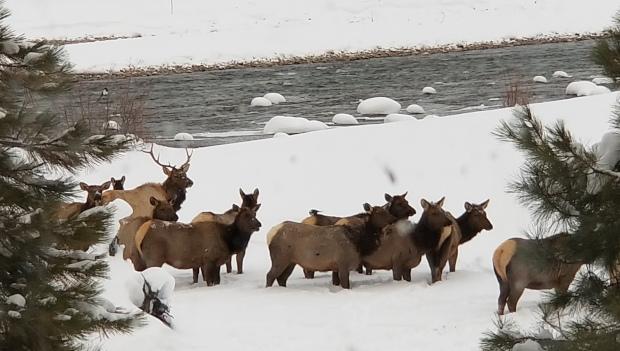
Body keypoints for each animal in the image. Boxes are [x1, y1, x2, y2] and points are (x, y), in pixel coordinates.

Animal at [133, 206, 262, 286]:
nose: (259, 224)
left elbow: (217, 281)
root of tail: (139, 234)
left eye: (255, 214)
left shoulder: (217, 262)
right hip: (154, 257)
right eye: (246, 215)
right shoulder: (209, 260)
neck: (228, 241)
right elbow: (210, 282)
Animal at [264, 205, 394, 290]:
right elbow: (346, 285)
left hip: (291, 262)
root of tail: (270, 234)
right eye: (380, 213)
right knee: (270, 275)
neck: (358, 241)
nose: (394, 219)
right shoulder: (343, 264)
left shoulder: (336, 267)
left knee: (282, 278)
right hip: (280, 258)